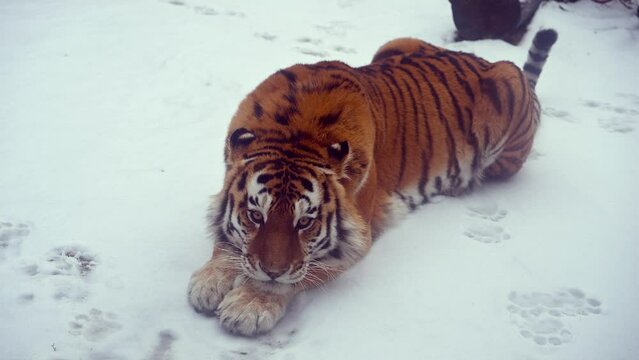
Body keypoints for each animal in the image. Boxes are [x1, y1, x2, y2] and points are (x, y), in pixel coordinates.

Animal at [188, 29, 556, 336]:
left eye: (305, 222)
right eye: (255, 216)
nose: (271, 269)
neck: (296, 134)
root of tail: (488, 60)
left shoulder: (357, 237)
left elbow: (297, 273)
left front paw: (249, 306)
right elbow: (227, 242)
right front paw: (210, 282)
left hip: (507, 98)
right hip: (396, 42)